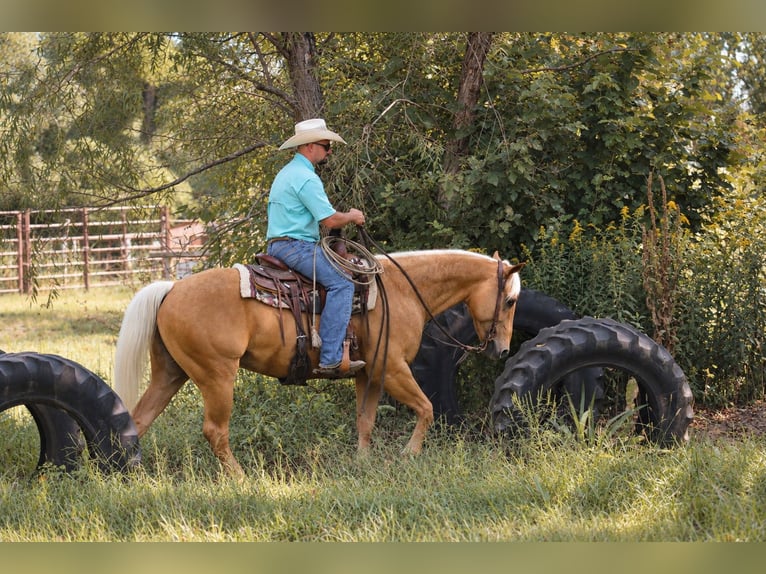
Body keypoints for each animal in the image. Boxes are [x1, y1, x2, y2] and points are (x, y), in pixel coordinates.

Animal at [113, 249, 525, 477]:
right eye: (510, 301)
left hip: (170, 374)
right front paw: (409, 455)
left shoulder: (368, 374)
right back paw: (240, 477)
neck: (400, 291)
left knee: (139, 420)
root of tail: (171, 288)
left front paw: (362, 462)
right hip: (217, 377)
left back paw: (130, 474)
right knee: (215, 431)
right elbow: (426, 408)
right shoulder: (392, 369)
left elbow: (365, 420)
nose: (502, 350)